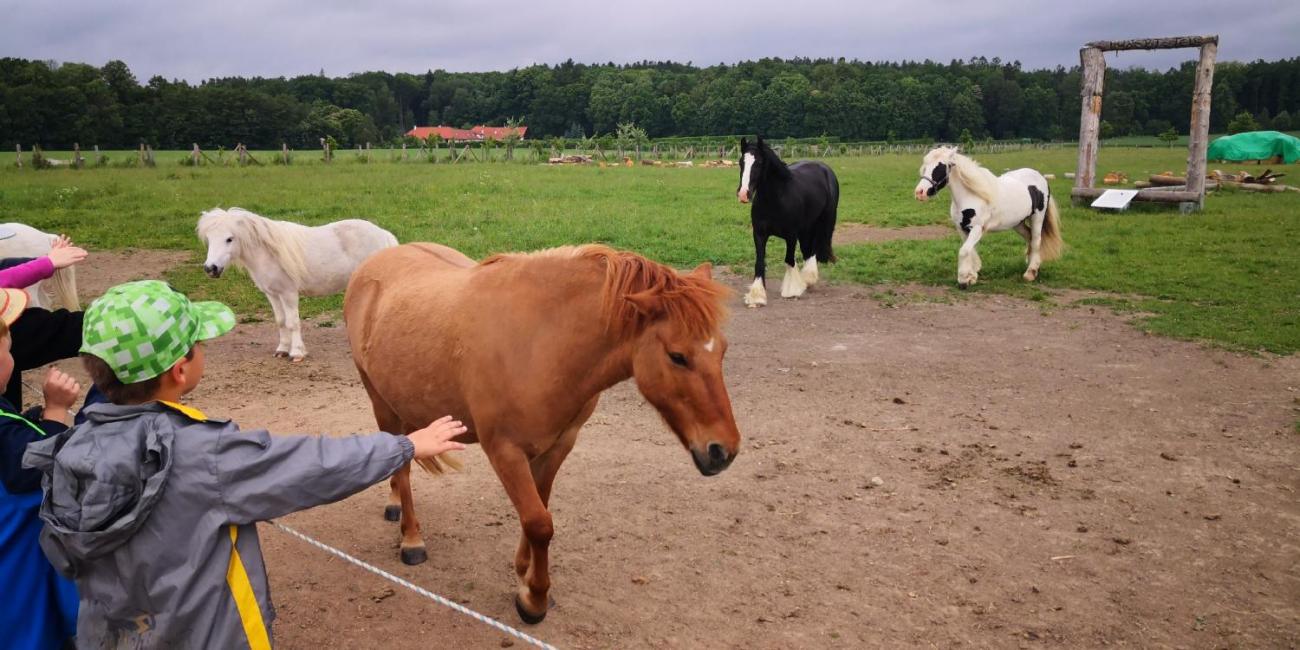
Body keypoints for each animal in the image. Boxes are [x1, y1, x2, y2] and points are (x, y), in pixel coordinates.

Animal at [196, 208, 395, 361]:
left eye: (229, 239)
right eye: (209, 239)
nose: (210, 268)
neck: (268, 254)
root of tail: (383, 234)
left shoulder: (289, 293)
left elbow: (293, 322)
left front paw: (297, 353)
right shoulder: (272, 294)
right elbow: (281, 321)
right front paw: (282, 350)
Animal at [343, 244, 743, 624]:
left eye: (723, 349)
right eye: (677, 356)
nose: (724, 451)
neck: (542, 342)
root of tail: (373, 263)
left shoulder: (558, 445)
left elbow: (539, 508)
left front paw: (524, 572)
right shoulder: (504, 451)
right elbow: (538, 523)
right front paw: (533, 599)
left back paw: (394, 504)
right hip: (380, 401)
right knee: (403, 464)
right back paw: (411, 538)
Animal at [738, 136, 837, 306]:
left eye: (759, 163)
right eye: (740, 162)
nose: (744, 194)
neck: (776, 198)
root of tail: (824, 168)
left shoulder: (791, 235)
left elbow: (789, 259)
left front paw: (792, 290)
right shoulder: (759, 234)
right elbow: (759, 262)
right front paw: (757, 295)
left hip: (823, 222)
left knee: (814, 248)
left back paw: (808, 278)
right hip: (806, 228)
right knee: (807, 250)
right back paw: (807, 280)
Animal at [920, 148, 1060, 291]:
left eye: (941, 166)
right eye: (925, 166)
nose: (920, 192)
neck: (971, 195)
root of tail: (1040, 177)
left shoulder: (977, 228)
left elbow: (964, 251)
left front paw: (963, 280)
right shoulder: (961, 228)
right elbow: (970, 250)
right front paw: (972, 276)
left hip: (1037, 216)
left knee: (1036, 240)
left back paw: (1030, 273)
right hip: (1018, 222)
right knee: (1029, 237)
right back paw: (1034, 267)